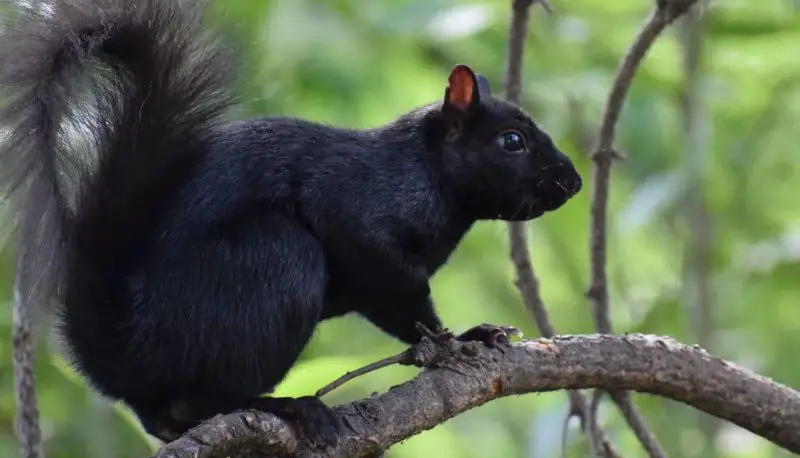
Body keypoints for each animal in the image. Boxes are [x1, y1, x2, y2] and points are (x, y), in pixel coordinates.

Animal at [0, 0, 582, 448]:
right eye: (512, 141)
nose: (573, 182)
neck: (426, 174)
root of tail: (127, 349)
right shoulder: (358, 218)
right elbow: (404, 300)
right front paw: (453, 342)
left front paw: (472, 333)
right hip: (273, 258)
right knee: (208, 398)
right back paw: (288, 407)